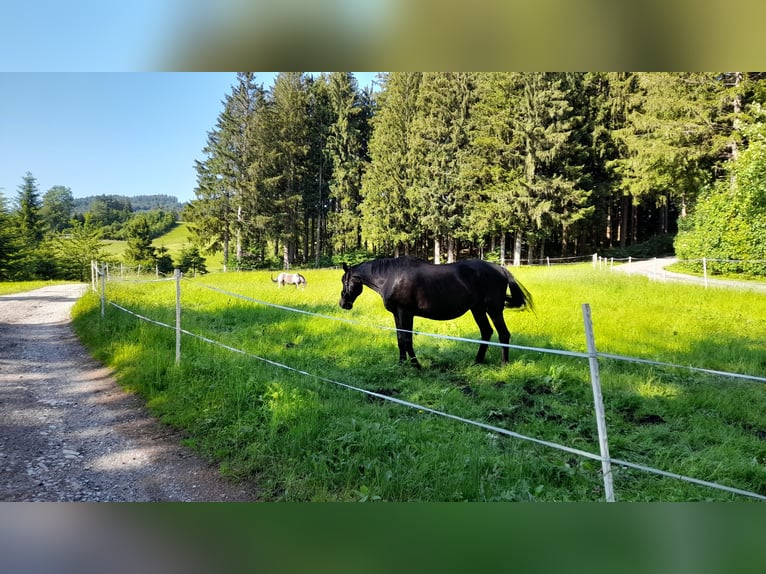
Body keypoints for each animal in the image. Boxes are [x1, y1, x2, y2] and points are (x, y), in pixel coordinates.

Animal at [342, 258, 536, 368]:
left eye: (344, 281)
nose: (343, 304)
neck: (391, 276)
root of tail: (500, 269)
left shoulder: (406, 313)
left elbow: (407, 339)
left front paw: (416, 365)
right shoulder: (397, 314)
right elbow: (400, 339)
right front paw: (402, 364)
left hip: (493, 310)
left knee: (503, 334)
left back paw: (504, 364)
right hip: (478, 310)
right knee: (486, 332)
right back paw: (477, 361)